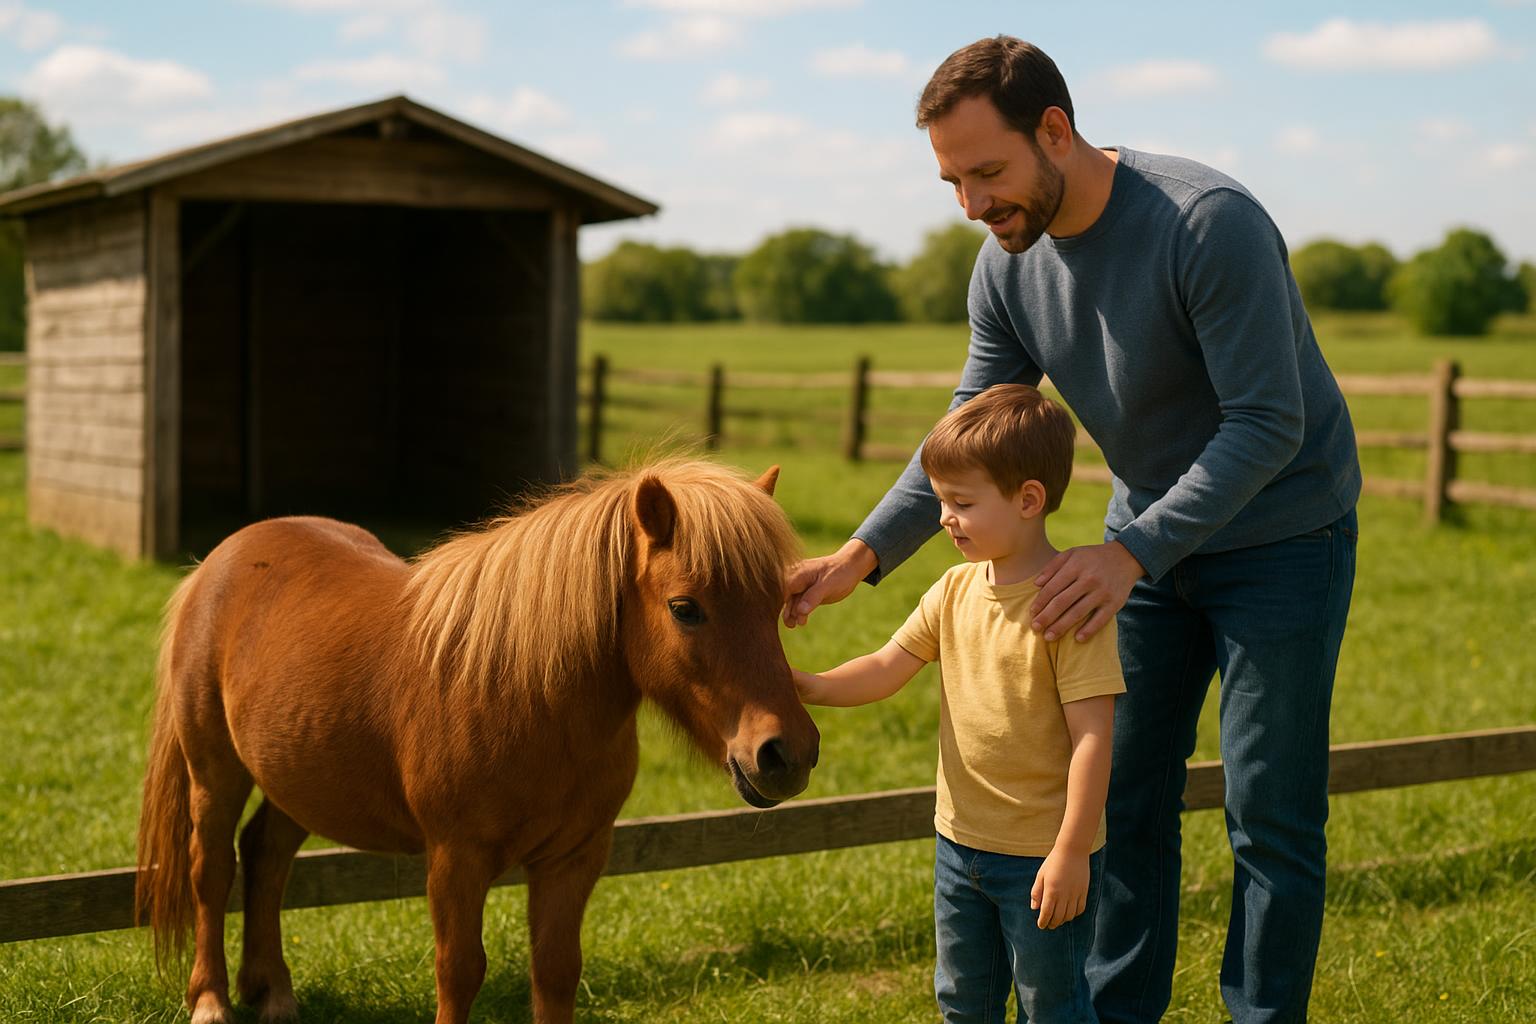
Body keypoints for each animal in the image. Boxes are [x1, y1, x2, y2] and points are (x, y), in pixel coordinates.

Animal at [135, 458, 820, 1024]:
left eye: (780, 600)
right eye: (684, 607)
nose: (785, 753)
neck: (525, 697)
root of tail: (223, 559)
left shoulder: (574, 859)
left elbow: (556, 971)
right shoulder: (455, 859)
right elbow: (460, 972)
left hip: (298, 778)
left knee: (266, 856)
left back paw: (273, 991)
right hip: (214, 772)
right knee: (211, 868)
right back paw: (211, 1002)